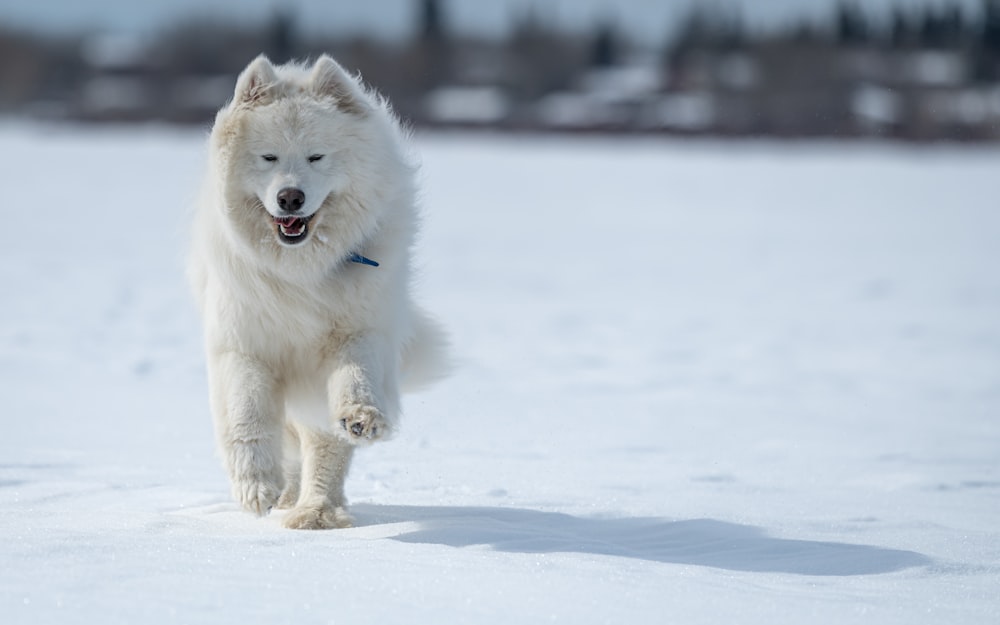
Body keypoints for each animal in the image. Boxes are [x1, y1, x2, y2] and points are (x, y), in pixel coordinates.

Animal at [189, 56, 448, 528]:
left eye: (316, 156)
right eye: (268, 157)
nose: (291, 197)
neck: (300, 274)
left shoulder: (357, 332)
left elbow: (356, 382)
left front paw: (362, 419)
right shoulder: (243, 344)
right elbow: (247, 416)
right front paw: (257, 487)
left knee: (321, 447)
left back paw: (316, 511)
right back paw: (288, 497)